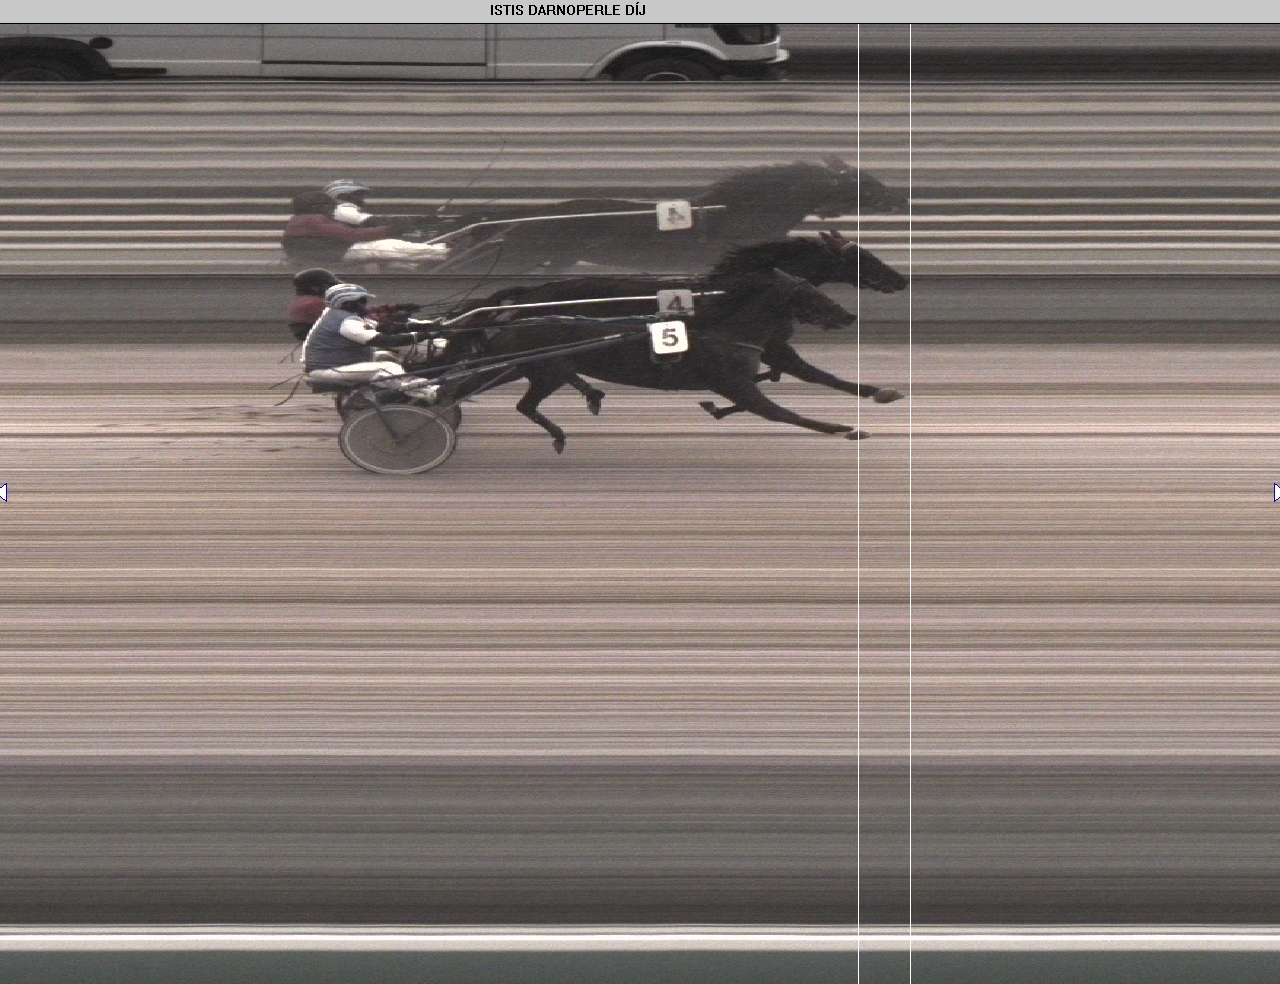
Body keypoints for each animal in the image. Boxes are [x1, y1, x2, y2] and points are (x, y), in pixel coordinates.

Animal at [442, 231, 906, 409]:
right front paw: (877, 391)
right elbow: (812, 374)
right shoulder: (772, 342)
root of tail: (529, 292)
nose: (900, 279)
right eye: (863, 258)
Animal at [447, 269, 876, 452]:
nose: (848, 315)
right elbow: (781, 412)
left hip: (530, 367)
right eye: (810, 293)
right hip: (536, 368)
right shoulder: (732, 380)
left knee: (522, 402)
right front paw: (845, 428)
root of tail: (515, 314)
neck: (724, 327)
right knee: (503, 397)